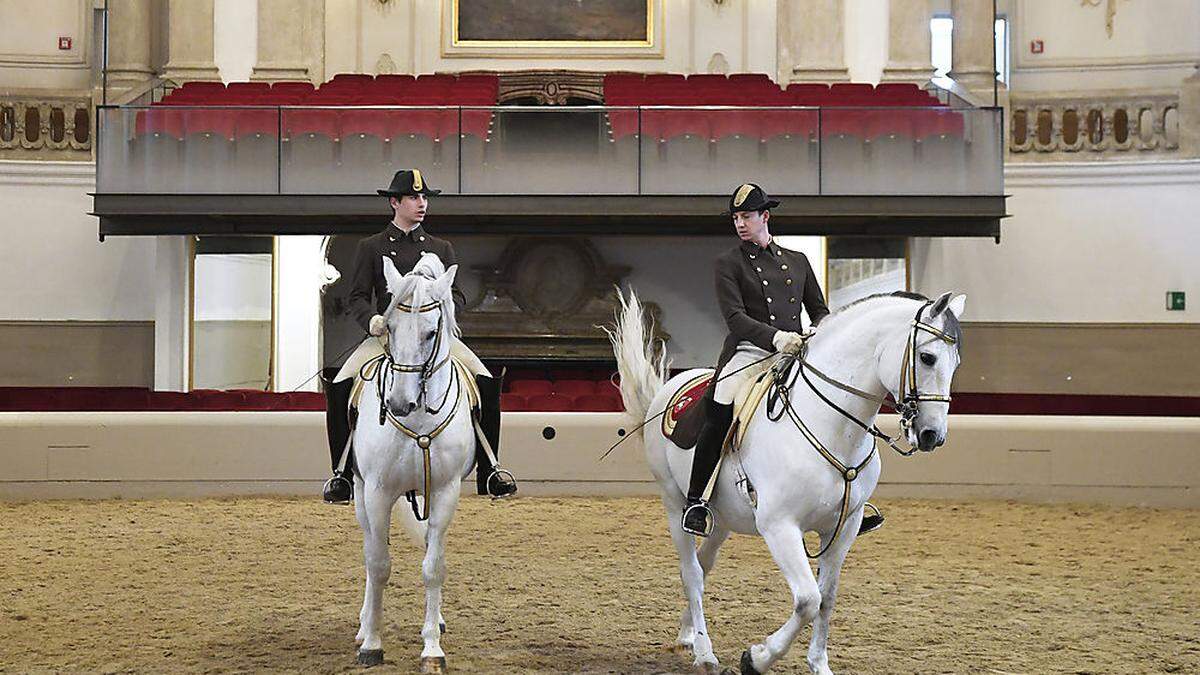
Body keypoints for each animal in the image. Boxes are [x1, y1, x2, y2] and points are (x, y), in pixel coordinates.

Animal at [348, 254, 472, 667]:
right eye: (388, 326)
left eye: (432, 332)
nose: (400, 404)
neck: (418, 420)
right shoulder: (377, 492)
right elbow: (379, 565)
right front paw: (372, 643)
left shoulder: (446, 492)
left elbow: (434, 567)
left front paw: (432, 648)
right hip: (359, 495)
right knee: (370, 551)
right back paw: (363, 625)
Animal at [609, 289, 964, 672]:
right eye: (927, 357)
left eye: (956, 362)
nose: (932, 435)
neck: (833, 426)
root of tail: (673, 387)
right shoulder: (780, 526)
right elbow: (808, 599)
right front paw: (757, 658)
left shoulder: (844, 528)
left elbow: (827, 597)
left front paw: (819, 664)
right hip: (675, 506)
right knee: (691, 573)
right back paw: (704, 653)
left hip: (720, 519)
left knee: (703, 566)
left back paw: (688, 635)